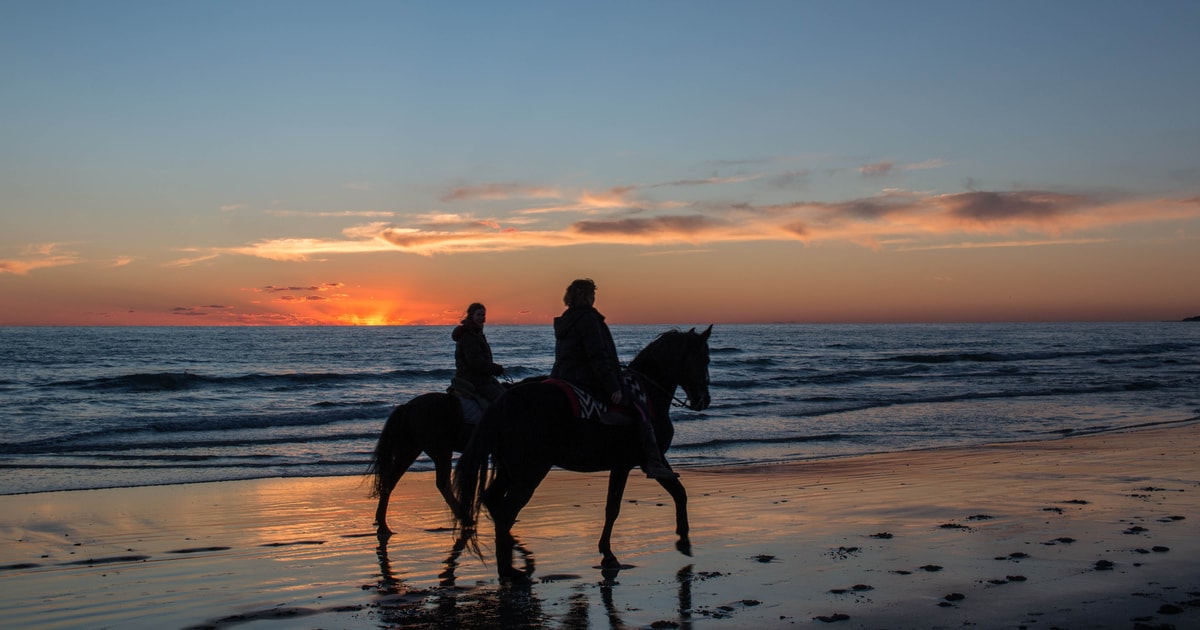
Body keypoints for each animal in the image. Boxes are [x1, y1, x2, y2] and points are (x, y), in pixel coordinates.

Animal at [451, 326, 710, 578]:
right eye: (704, 358)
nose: (704, 399)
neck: (648, 395)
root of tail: (503, 402)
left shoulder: (638, 463)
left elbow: (676, 494)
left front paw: (681, 541)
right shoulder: (637, 463)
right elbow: (616, 507)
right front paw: (611, 553)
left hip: (509, 470)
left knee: (493, 502)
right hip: (530, 471)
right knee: (506, 512)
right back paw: (509, 570)